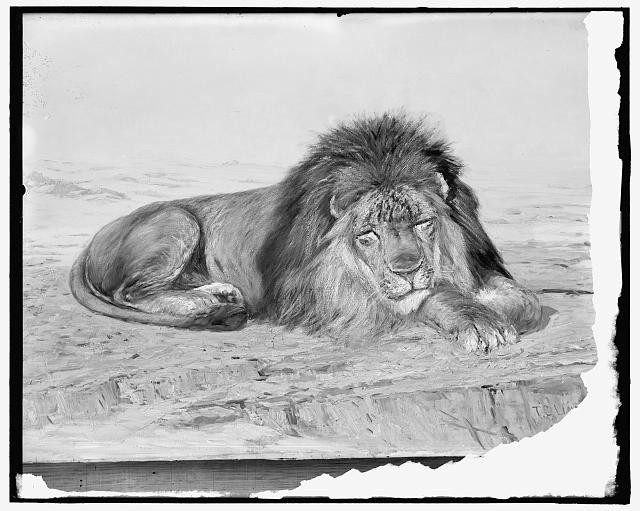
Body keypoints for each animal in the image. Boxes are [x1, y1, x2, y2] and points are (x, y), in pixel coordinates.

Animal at [70, 113, 543, 353]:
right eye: (368, 234)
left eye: (423, 223)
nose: (407, 269)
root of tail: (91, 242)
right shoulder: (326, 300)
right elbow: (425, 299)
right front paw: (478, 322)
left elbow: (527, 302)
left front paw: (497, 308)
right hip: (177, 221)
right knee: (132, 292)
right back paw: (208, 305)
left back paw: (218, 294)